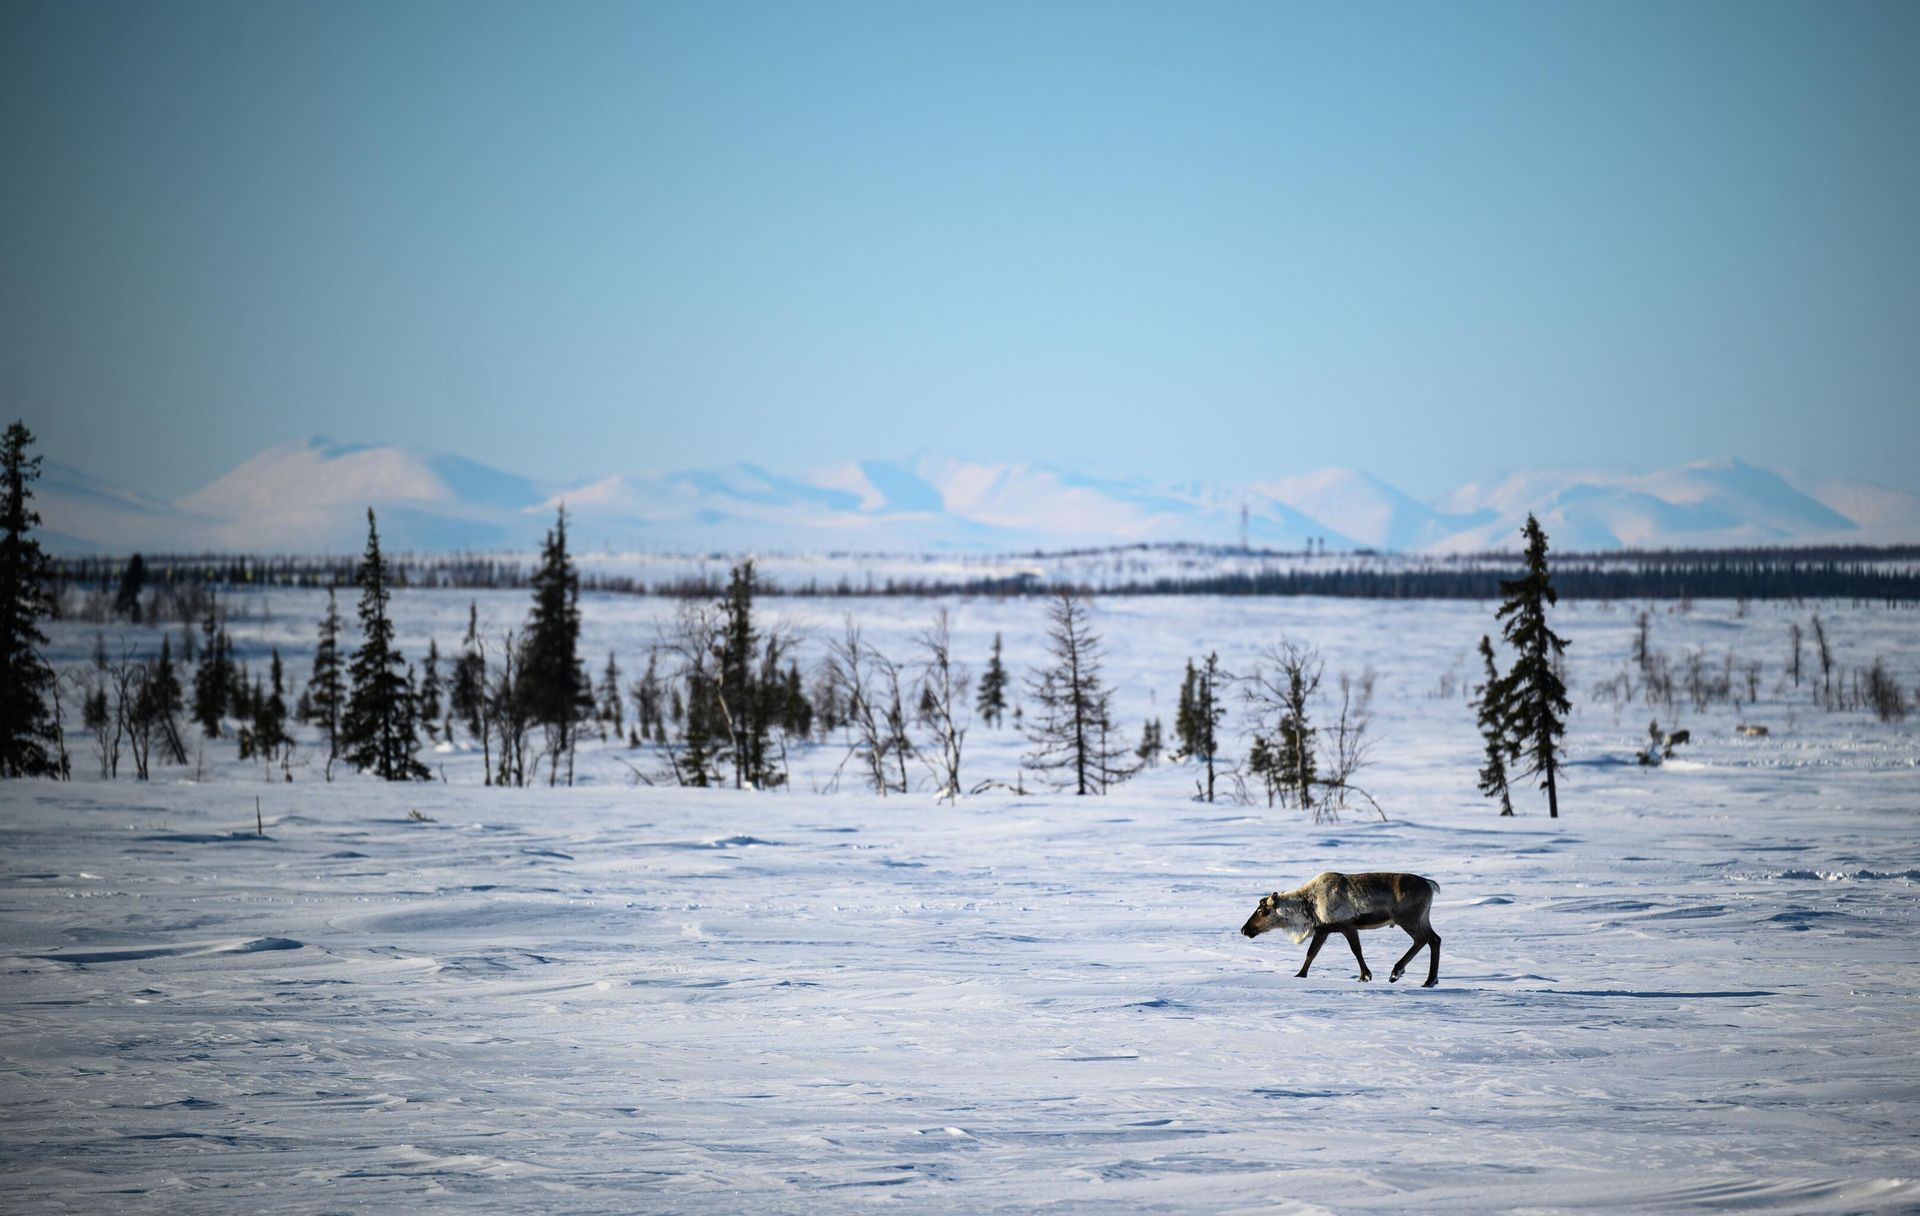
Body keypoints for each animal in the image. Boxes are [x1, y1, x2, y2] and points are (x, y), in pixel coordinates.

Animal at [1241, 871, 1442, 987]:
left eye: (1261, 911)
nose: (1244, 929)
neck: (1308, 905)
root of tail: (1431, 884)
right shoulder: (1323, 930)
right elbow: (1311, 953)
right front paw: (1299, 975)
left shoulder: (1347, 925)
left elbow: (1356, 950)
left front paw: (1365, 976)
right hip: (1420, 918)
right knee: (1433, 939)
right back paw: (1417, 977)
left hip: (1408, 919)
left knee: (1425, 939)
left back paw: (1412, 976)